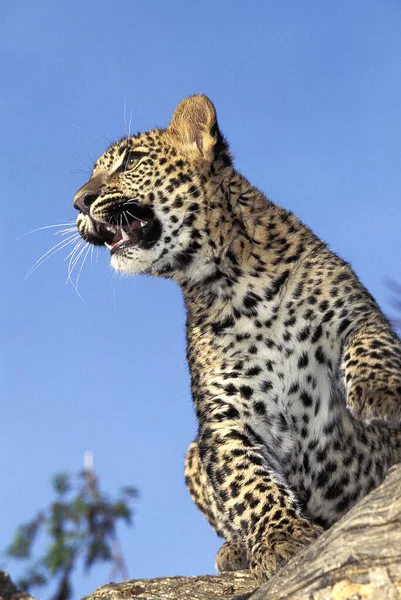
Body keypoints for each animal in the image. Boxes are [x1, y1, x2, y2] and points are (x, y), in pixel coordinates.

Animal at [73, 95, 400, 580]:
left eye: (130, 161)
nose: (78, 202)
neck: (235, 285)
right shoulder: (225, 412)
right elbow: (248, 482)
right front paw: (283, 540)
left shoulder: (356, 315)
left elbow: (370, 346)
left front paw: (381, 394)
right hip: (191, 455)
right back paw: (234, 551)